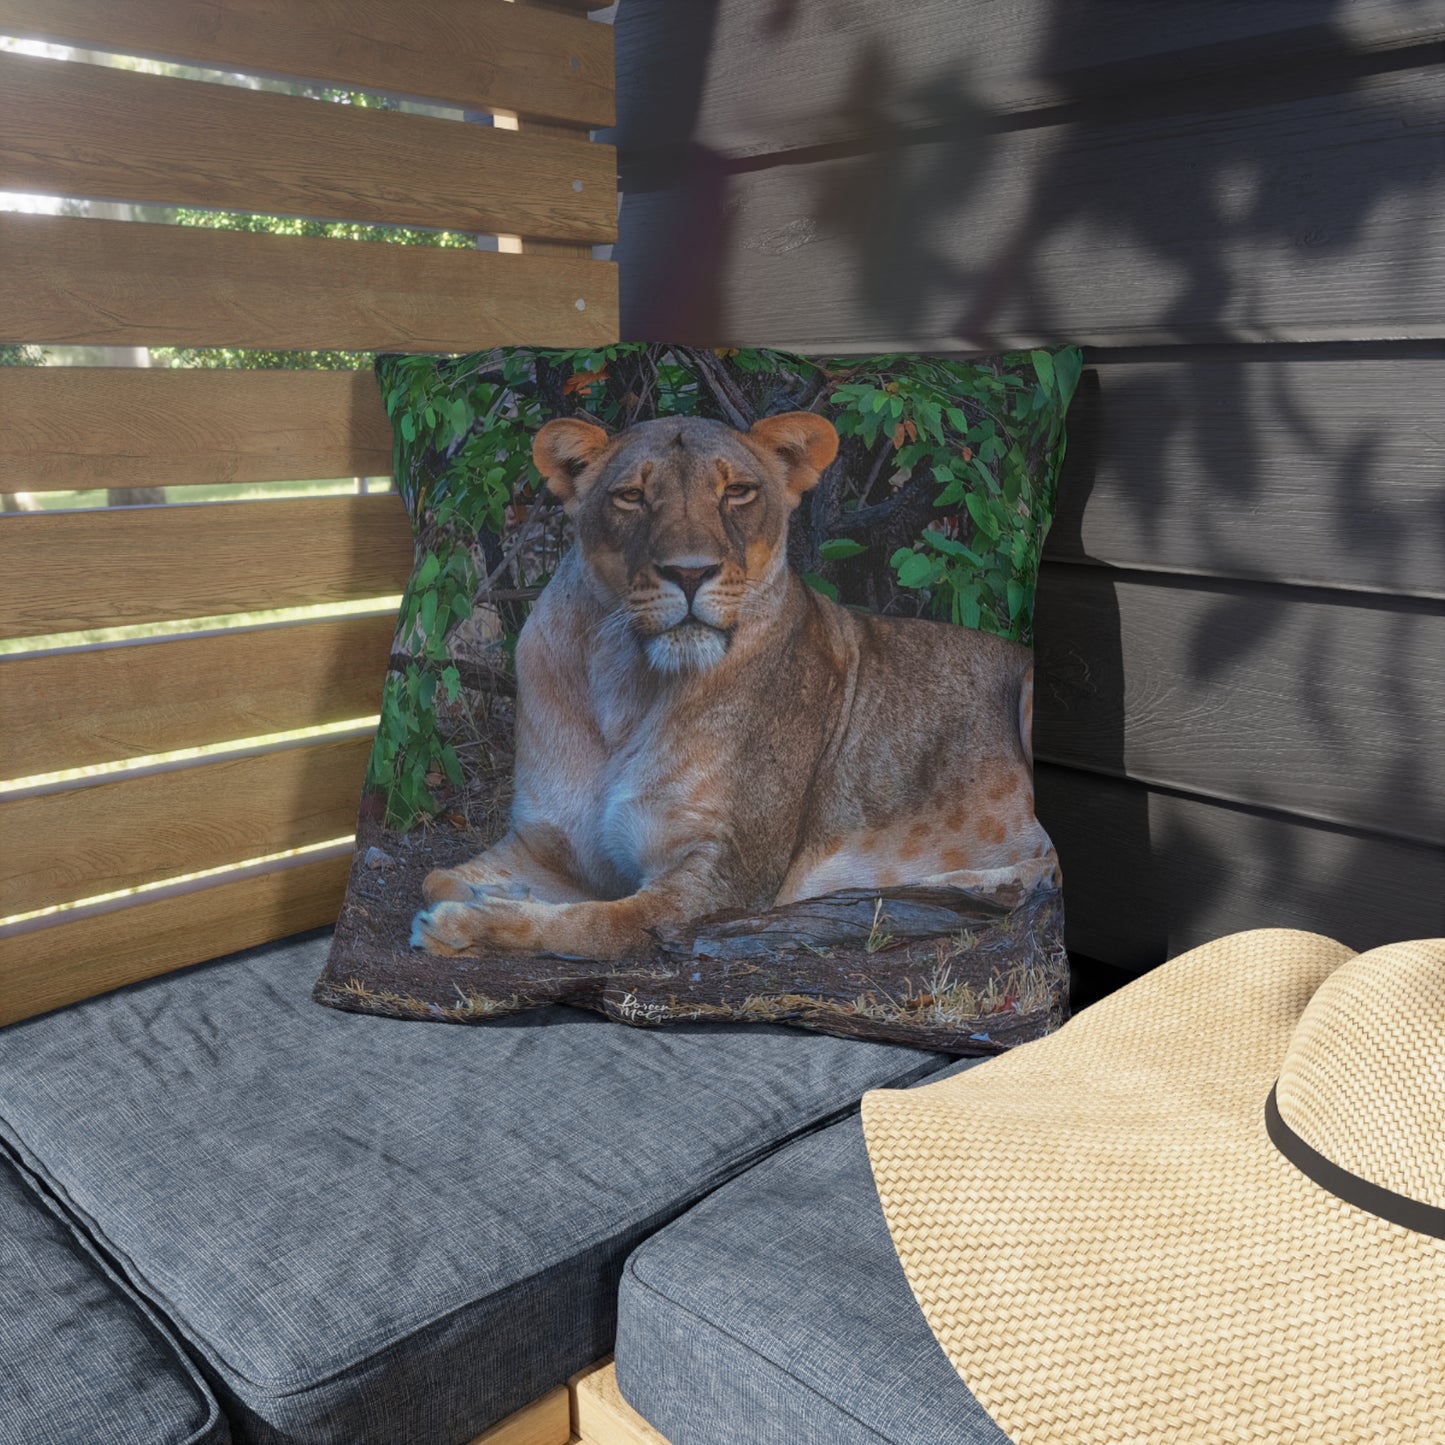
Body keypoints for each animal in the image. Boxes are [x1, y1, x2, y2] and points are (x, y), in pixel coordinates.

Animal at [410, 411, 1057, 959]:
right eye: (632, 496)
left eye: (737, 492)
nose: (689, 572)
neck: (626, 682)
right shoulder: (544, 844)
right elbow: (435, 877)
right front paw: (487, 896)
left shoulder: (722, 878)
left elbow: (597, 924)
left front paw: (467, 925)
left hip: (1030, 686)